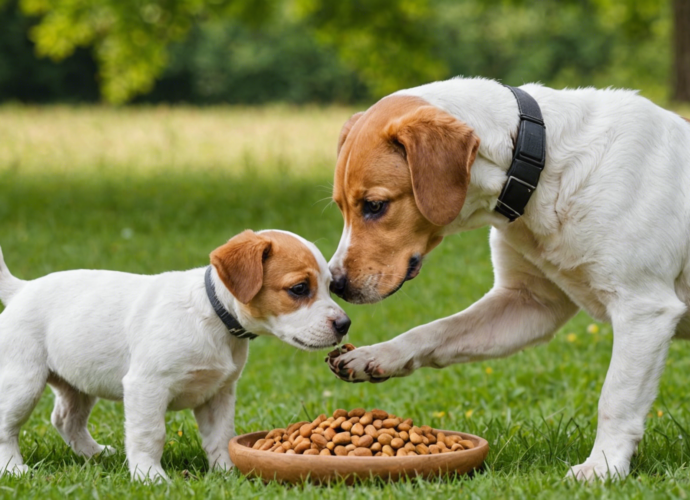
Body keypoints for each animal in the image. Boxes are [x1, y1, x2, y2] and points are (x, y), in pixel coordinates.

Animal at [0, 230, 346, 480]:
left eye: (330, 286)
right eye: (299, 288)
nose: (345, 324)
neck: (213, 317)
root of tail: (22, 289)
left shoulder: (218, 394)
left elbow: (221, 437)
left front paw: (226, 474)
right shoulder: (146, 386)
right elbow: (150, 435)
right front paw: (149, 476)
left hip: (79, 382)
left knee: (66, 420)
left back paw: (96, 454)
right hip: (23, 383)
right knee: (7, 428)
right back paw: (14, 469)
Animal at [324, 78, 688, 480]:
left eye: (375, 206)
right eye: (340, 207)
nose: (335, 285)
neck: (544, 167)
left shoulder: (643, 308)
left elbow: (616, 398)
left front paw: (604, 466)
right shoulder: (529, 303)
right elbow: (433, 331)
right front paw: (376, 355)